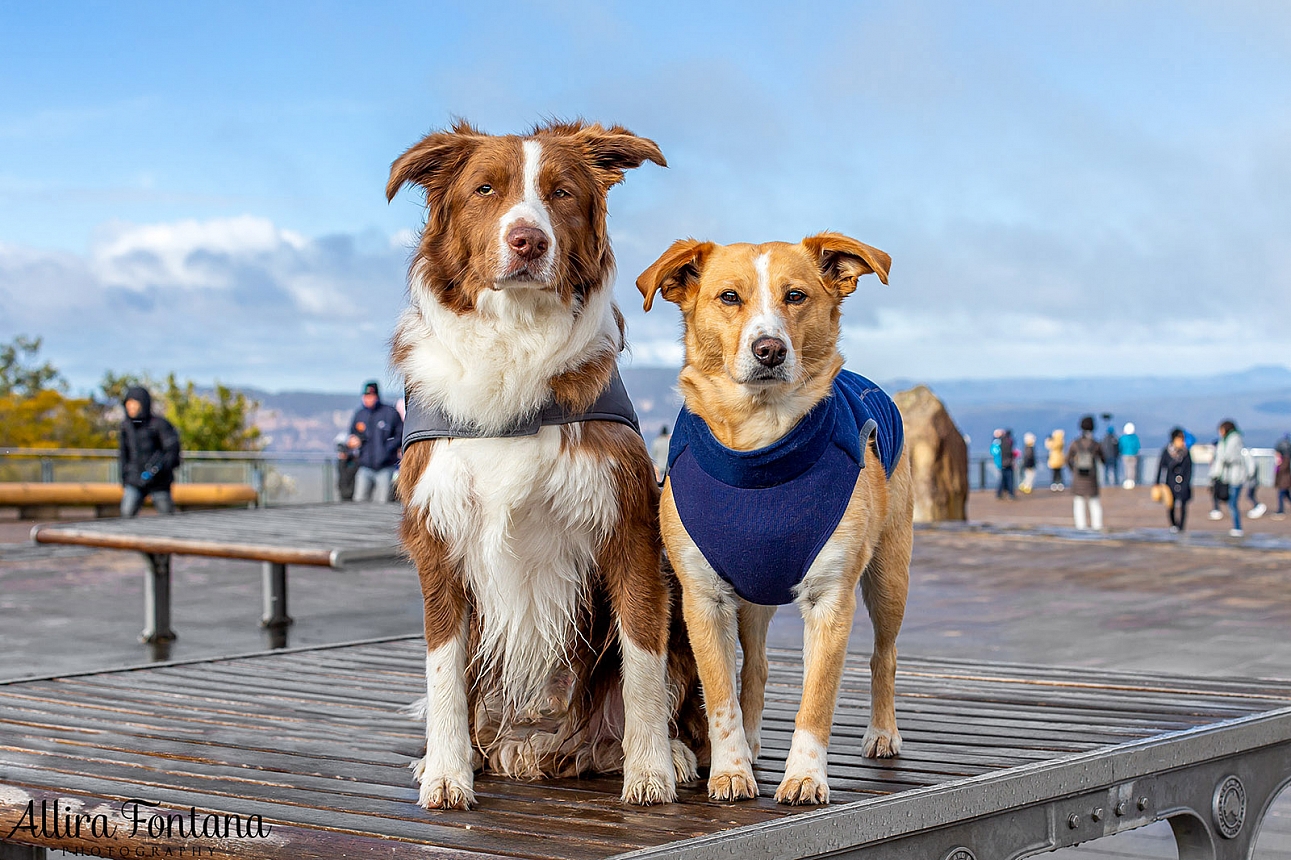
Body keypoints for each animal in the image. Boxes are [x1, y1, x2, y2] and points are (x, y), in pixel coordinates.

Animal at [387, 122, 702, 810]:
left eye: (560, 193)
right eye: (485, 189)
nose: (528, 239)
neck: (516, 343)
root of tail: (539, 746)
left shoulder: (628, 527)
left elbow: (642, 658)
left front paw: (650, 770)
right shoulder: (438, 539)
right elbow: (442, 670)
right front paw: (447, 772)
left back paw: (671, 754)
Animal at [635, 232, 908, 805]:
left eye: (796, 296)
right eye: (729, 297)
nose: (770, 349)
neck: (761, 446)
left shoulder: (831, 600)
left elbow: (817, 699)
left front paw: (805, 775)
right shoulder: (704, 599)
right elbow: (720, 695)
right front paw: (730, 769)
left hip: (890, 574)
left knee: (885, 654)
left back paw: (882, 732)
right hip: (751, 597)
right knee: (756, 665)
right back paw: (755, 739)